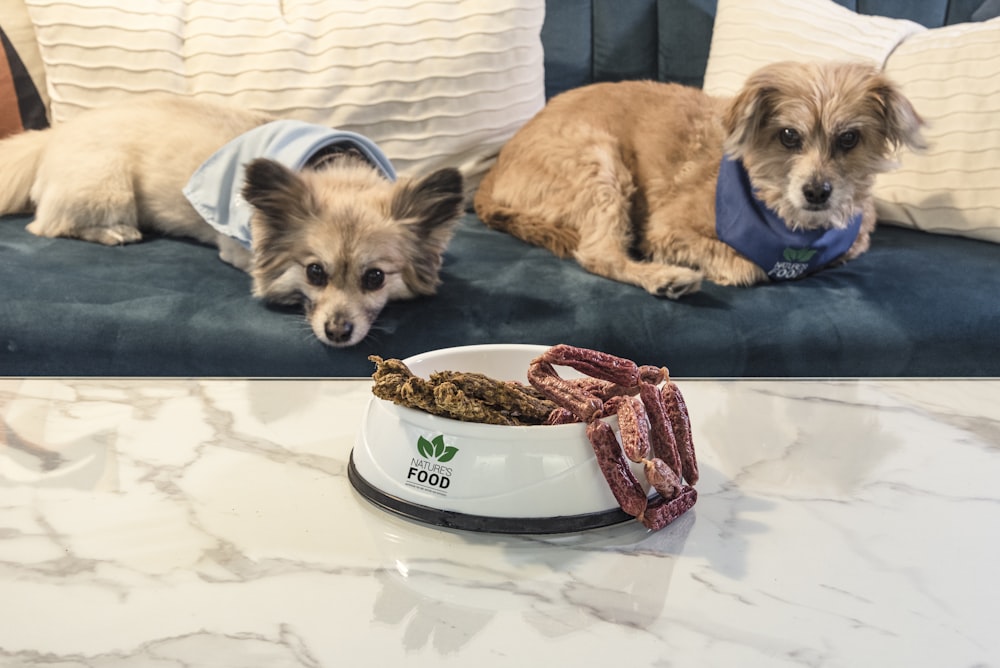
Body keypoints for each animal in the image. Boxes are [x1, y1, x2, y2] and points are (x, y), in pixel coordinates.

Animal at [0, 96, 466, 348]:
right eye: (314, 272)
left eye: (375, 278)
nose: (337, 332)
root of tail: (56, 133)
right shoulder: (237, 248)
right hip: (108, 187)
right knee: (47, 224)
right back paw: (115, 231)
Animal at [472, 60, 924, 298]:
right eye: (788, 135)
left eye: (849, 138)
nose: (817, 192)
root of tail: (491, 176)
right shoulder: (664, 230)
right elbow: (748, 268)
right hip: (599, 161)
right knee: (599, 254)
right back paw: (665, 279)